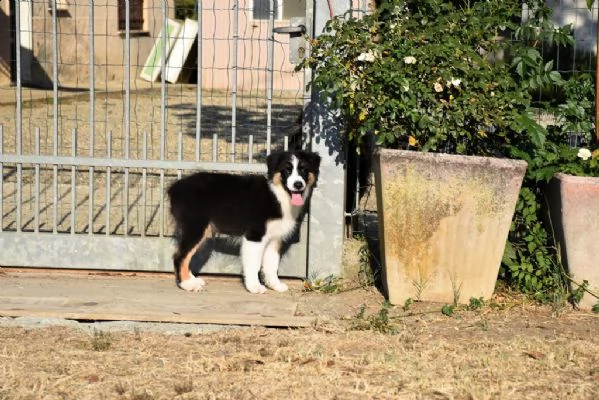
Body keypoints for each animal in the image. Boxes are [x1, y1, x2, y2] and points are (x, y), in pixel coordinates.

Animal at [166, 150, 322, 294]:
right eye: (287, 170)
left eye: (304, 169)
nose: (298, 184)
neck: (277, 194)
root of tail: (174, 187)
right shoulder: (255, 236)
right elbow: (254, 264)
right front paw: (254, 287)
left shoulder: (274, 239)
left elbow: (272, 264)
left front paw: (275, 285)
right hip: (196, 227)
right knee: (179, 256)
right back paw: (186, 284)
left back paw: (192, 279)